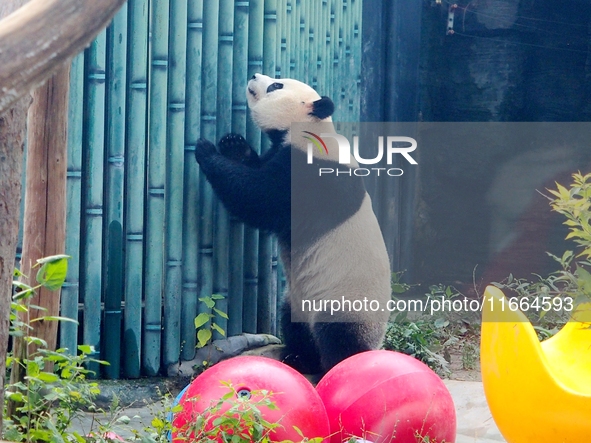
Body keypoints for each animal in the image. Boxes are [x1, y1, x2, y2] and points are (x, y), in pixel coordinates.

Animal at [194, 73, 394, 374]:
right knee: (295, 325)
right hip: (297, 298)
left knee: (342, 338)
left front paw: (206, 151)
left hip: (347, 301)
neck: (311, 130)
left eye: (277, 85)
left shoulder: (311, 176)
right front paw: (233, 144)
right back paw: (299, 358)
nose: (254, 75)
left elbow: (259, 199)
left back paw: (334, 366)